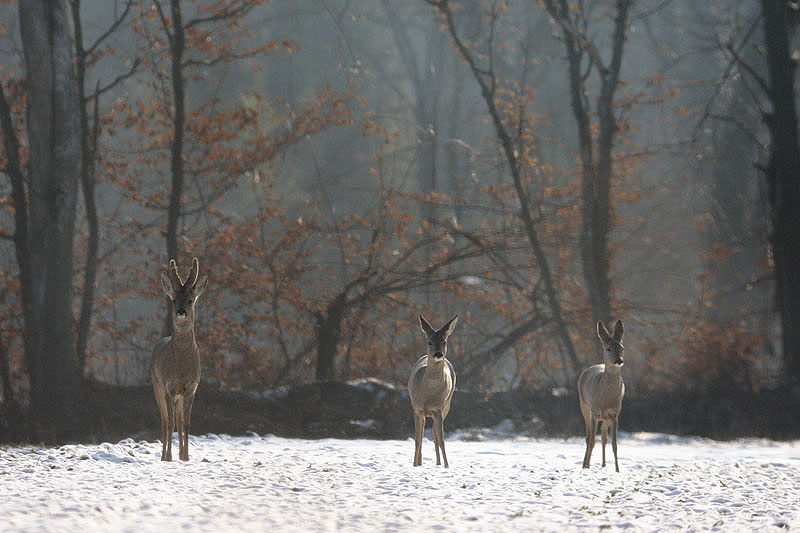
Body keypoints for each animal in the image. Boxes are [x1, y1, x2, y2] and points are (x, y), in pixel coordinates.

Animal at [149, 256, 206, 460]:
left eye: (190, 300)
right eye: (174, 300)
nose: (181, 311)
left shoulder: (191, 388)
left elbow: (185, 424)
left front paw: (186, 457)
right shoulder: (168, 386)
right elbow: (171, 423)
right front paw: (168, 457)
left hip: (179, 396)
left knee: (179, 421)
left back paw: (180, 454)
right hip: (156, 385)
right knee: (165, 421)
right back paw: (164, 456)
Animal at [410, 314, 460, 468]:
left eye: (444, 341)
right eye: (429, 342)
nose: (438, 354)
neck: (428, 394)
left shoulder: (438, 409)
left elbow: (442, 440)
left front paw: (447, 466)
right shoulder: (417, 409)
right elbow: (417, 440)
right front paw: (415, 466)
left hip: (447, 405)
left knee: (433, 432)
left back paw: (438, 463)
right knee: (421, 436)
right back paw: (420, 462)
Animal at [580, 318, 624, 472]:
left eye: (622, 347)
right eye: (609, 348)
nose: (619, 360)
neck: (606, 397)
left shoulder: (615, 414)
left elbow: (614, 443)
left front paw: (617, 470)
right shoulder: (594, 411)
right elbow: (592, 440)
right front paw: (586, 466)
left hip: (605, 418)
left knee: (604, 436)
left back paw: (604, 464)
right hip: (584, 405)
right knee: (588, 437)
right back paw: (584, 464)